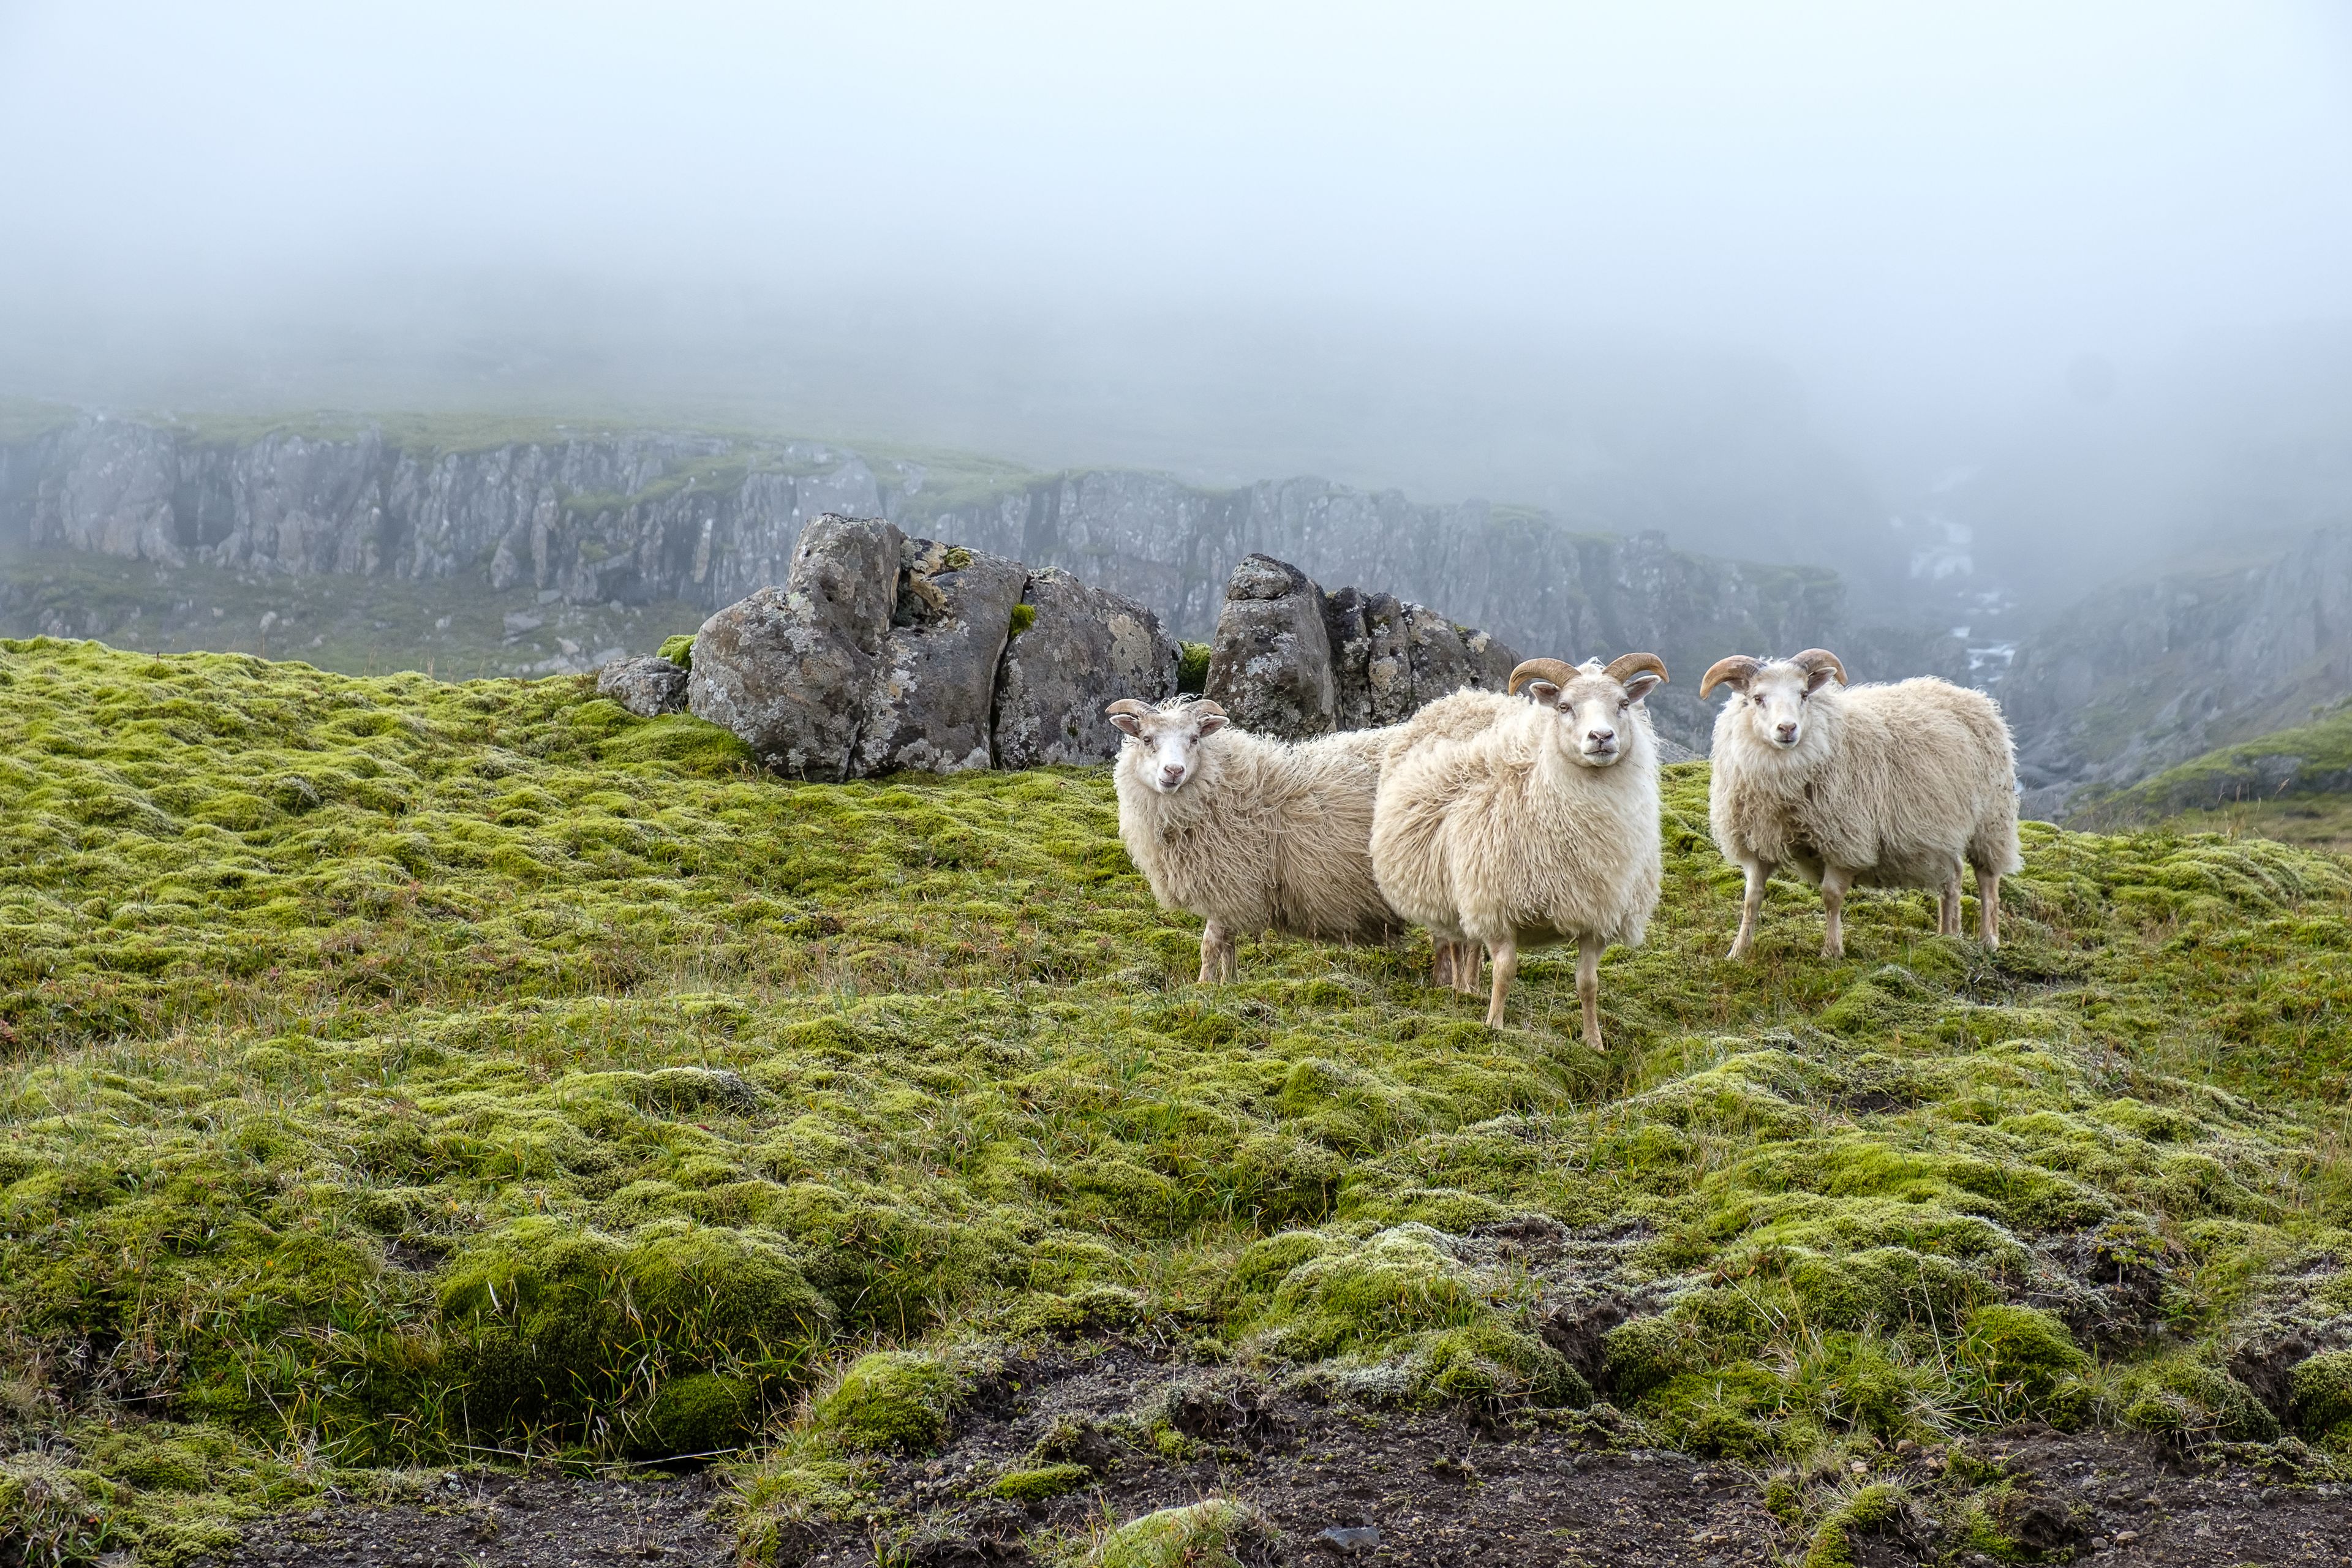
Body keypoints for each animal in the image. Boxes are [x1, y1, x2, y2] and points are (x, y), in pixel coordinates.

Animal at [1101, 696, 1392, 982]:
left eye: (1194, 739)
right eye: (1146, 739)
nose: (1173, 771)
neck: (1223, 787)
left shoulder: (1232, 883)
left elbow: (1211, 943)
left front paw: (1203, 985)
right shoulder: (1233, 893)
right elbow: (1228, 943)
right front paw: (1230, 983)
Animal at [1364, 658, 1675, 1048]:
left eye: (1623, 703)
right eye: (1564, 707)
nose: (1602, 737)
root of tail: (1462, 697)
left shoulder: (1596, 916)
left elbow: (1588, 984)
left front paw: (1594, 1042)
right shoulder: (1498, 907)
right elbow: (1505, 972)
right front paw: (1494, 1025)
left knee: (1471, 945)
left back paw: (1471, 988)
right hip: (1452, 891)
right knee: (1456, 942)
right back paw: (1460, 989)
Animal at [1703, 649, 2032, 963]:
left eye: (1804, 694)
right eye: (1757, 699)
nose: (1787, 728)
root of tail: (1972, 696)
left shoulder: (1845, 840)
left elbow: (1831, 896)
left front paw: (1832, 952)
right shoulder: (1758, 841)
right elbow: (1752, 898)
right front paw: (1738, 952)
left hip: (1991, 820)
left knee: (1987, 879)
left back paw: (1988, 939)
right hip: (1943, 831)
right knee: (1953, 878)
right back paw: (1948, 936)